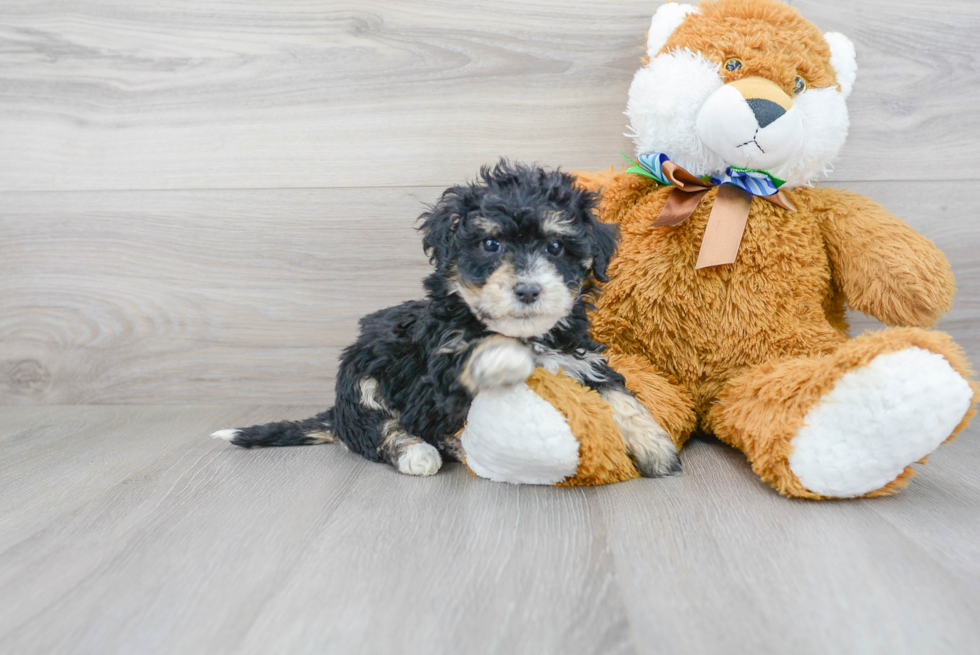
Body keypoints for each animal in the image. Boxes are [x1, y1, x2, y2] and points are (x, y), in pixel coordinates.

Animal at [211, 161, 676, 480]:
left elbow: (619, 395)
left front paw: (656, 447)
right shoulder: (440, 368)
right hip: (361, 378)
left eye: (556, 248)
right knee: (378, 428)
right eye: (491, 244)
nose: (528, 290)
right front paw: (505, 360)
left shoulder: (580, 358)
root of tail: (335, 414)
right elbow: (474, 369)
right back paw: (419, 453)